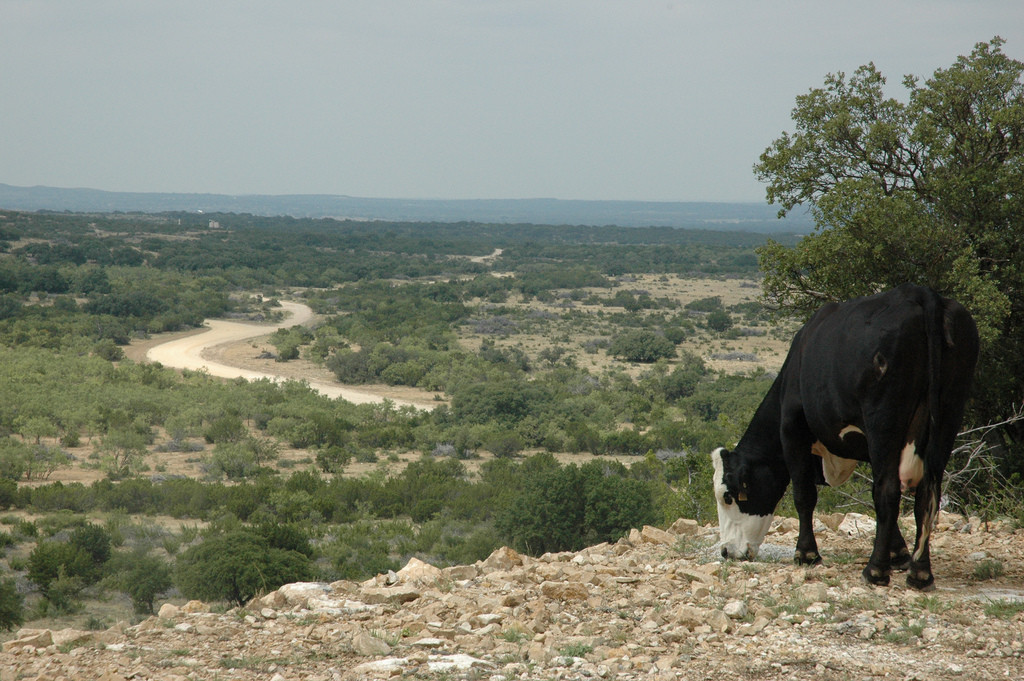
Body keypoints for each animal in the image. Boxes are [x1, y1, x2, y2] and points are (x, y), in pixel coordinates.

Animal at [712, 282, 974, 589]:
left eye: (728, 496)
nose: (726, 551)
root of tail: (921, 294)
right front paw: (899, 553)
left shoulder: (793, 431)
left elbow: (804, 495)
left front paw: (807, 554)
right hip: (947, 416)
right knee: (926, 493)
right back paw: (919, 572)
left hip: (884, 421)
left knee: (887, 491)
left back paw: (875, 570)